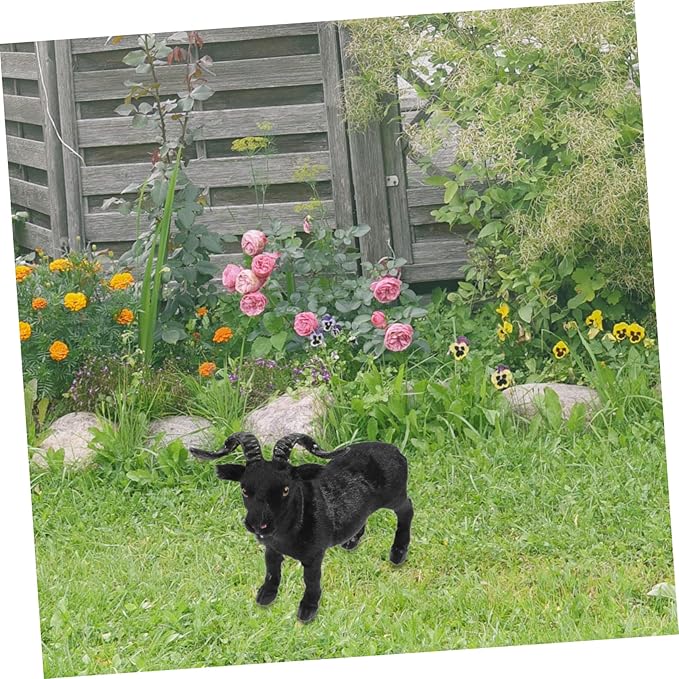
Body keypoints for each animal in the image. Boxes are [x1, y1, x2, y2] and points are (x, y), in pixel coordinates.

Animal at [190, 431, 413, 623]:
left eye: (286, 489)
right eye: (244, 489)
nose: (257, 525)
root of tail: (395, 450)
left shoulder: (313, 555)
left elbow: (311, 580)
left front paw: (307, 609)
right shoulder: (271, 549)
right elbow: (271, 570)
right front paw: (265, 595)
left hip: (395, 495)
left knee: (407, 510)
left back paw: (398, 552)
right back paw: (351, 540)